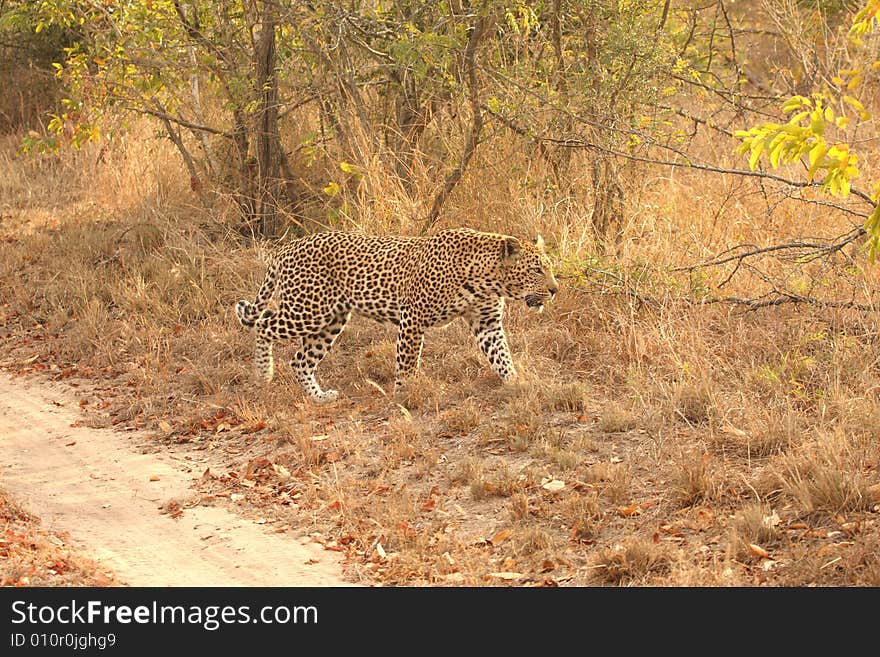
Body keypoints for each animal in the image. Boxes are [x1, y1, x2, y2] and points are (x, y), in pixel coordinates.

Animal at [235, 228, 556, 402]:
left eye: (549, 268)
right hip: (307, 310)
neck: (485, 279)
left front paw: (517, 383)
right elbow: (407, 362)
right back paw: (263, 374)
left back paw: (318, 397)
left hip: (331, 320)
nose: (555, 290)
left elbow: (502, 357)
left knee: (300, 360)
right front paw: (405, 395)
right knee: (263, 324)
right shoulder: (413, 318)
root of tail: (286, 248)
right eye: (537, 269)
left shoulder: (487, 323)